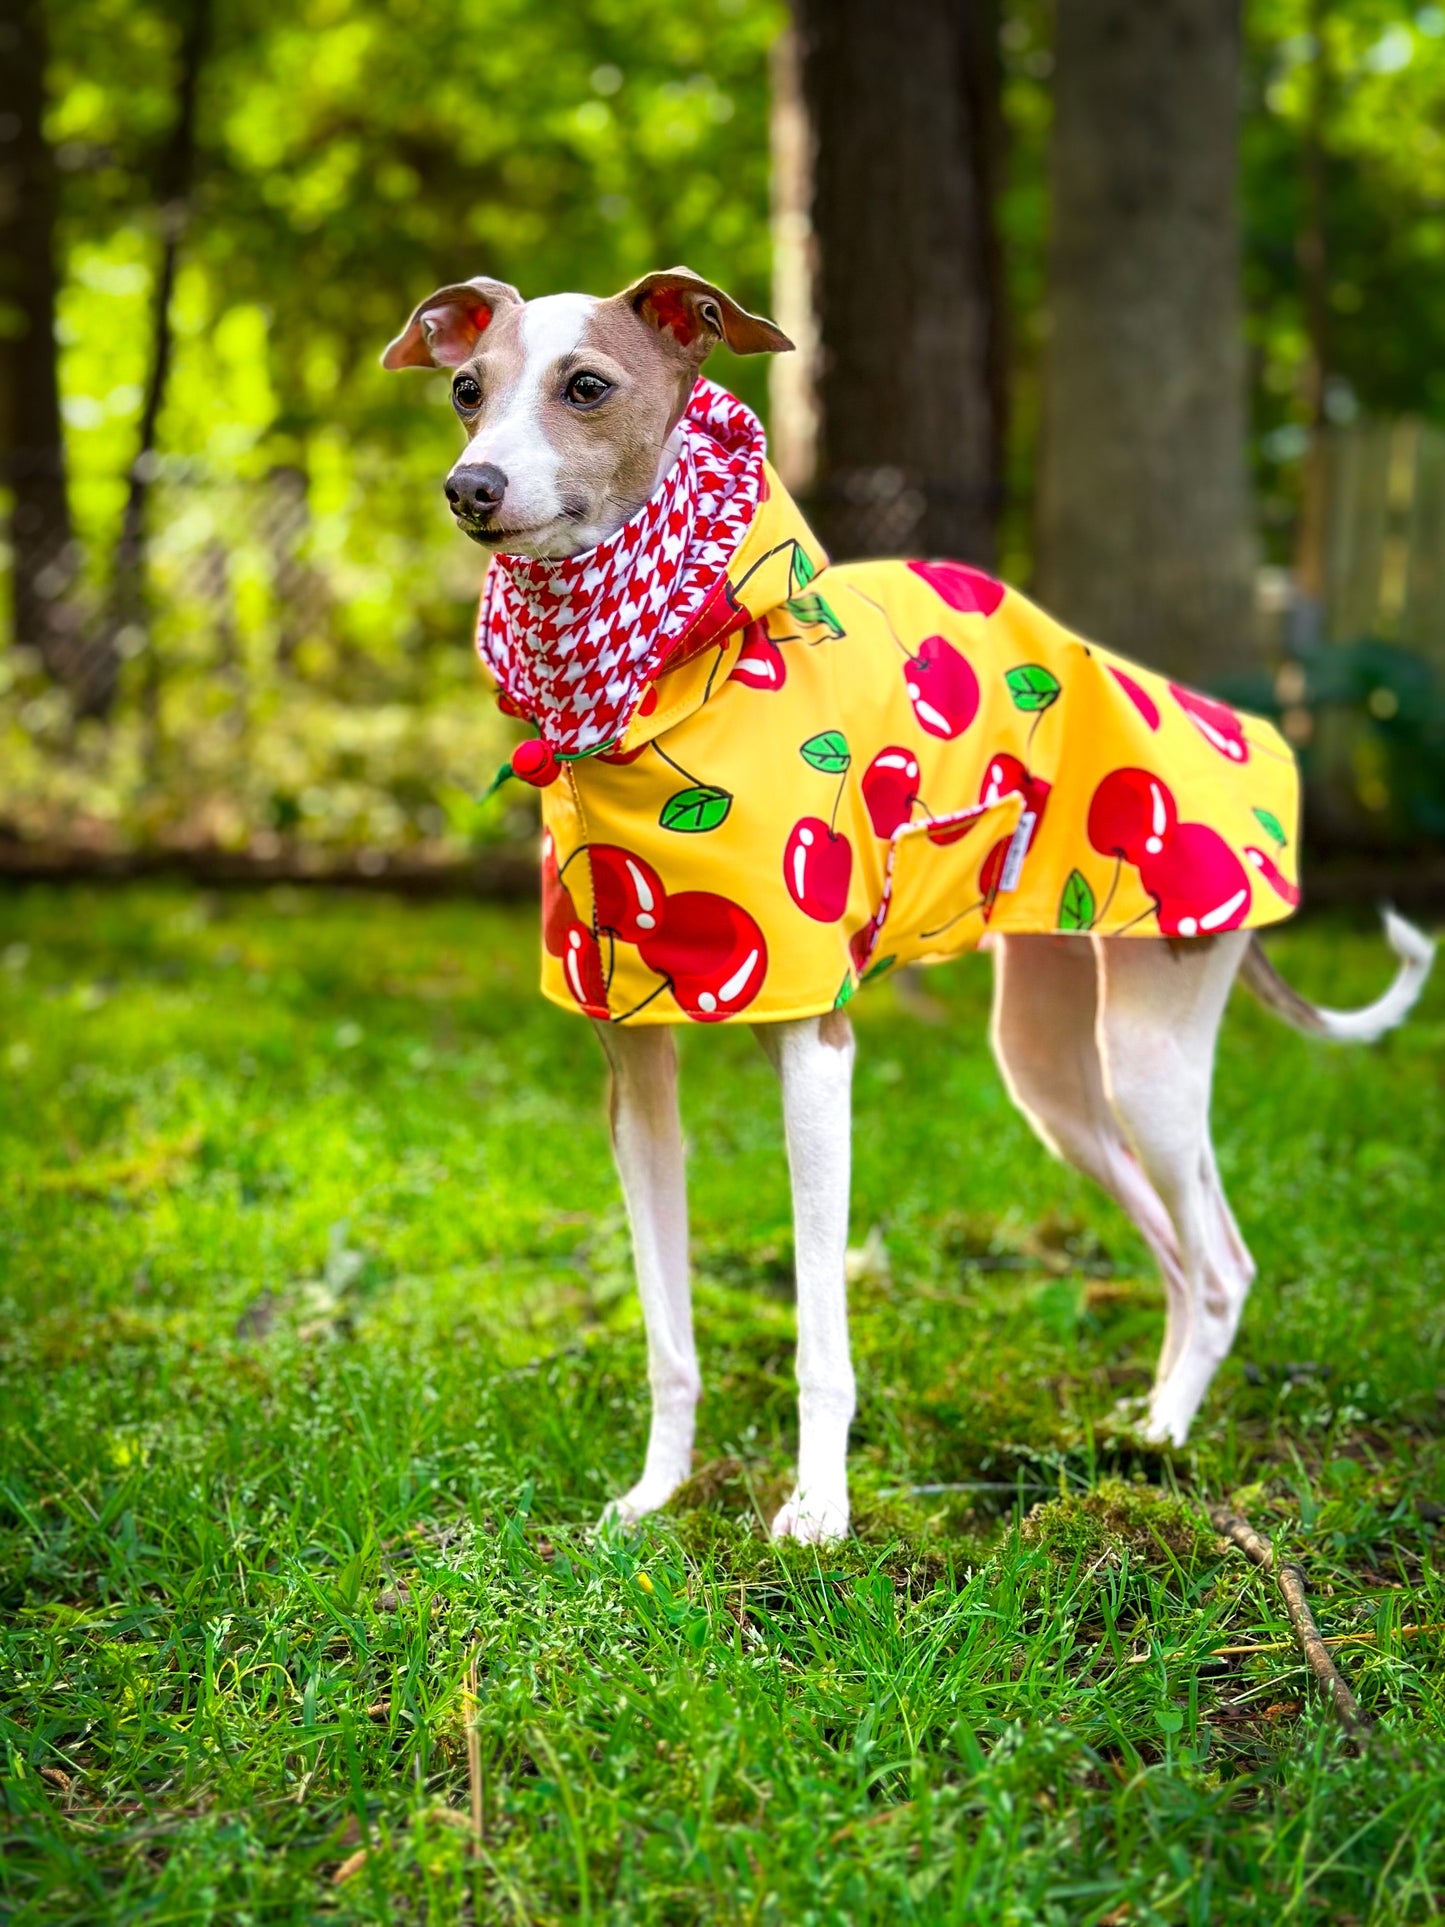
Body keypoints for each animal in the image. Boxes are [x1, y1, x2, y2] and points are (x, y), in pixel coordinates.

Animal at [381, 263, 1441, 1541]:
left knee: (1222, 1261)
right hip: (1050, 1076)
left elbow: (819, 1338)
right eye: (465, 389)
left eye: (585, 386)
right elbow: (667, 1329)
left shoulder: (814, 1053)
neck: (653, 695)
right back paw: (1135, 1429)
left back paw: (1166, 1442)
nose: (470, 487)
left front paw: (816, 1515)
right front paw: (654, 1494)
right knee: (1178, 1257)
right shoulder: (632, 1071)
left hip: (1148, 1055)